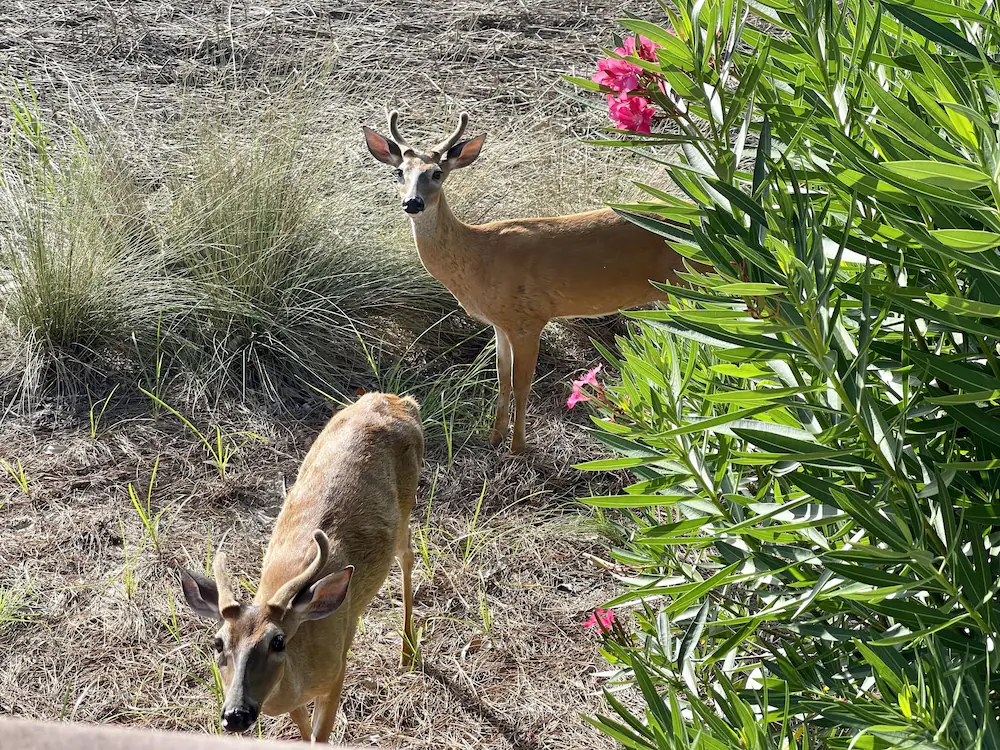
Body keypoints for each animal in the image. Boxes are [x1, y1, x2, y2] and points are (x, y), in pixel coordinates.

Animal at [180, 394, 422, 748]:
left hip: (408, 501)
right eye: (218, 643)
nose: (236, 715)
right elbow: (303, 730)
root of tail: (393, 399)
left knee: (407, 555)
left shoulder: (336, 671)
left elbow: (319, 736)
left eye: (278, 641)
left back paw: (407, 653)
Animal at [362, 111, 696, 452]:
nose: (413, 203)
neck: (477, 256)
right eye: (399, 172)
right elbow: (502, 380)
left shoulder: (530, 318)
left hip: (689, 284)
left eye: (437, 173)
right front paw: (495, 438)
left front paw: (518, 446)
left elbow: (521, 384)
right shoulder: (500, 323)